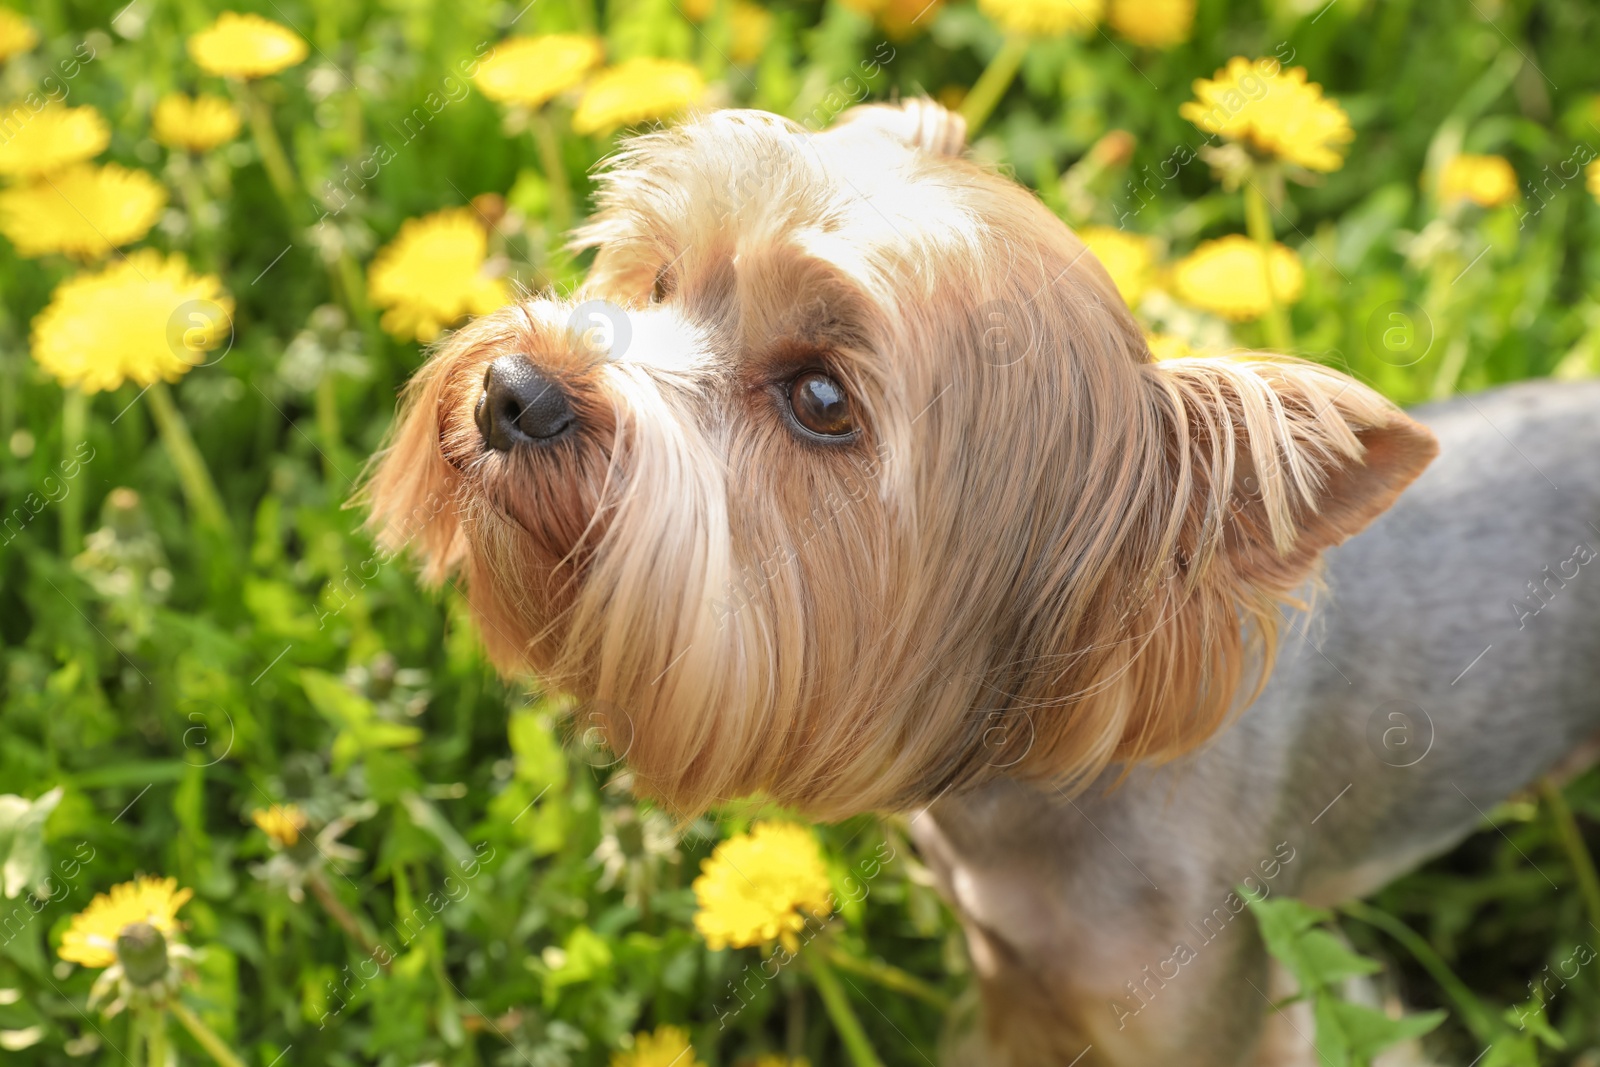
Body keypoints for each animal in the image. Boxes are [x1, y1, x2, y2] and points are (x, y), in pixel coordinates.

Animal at [368, 97, 1600, 1062]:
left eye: (822, 399)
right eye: (660, 277)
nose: (515, 390)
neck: (1040, 787)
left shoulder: (1218, 1004)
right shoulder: (1007, 966)